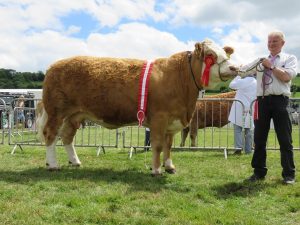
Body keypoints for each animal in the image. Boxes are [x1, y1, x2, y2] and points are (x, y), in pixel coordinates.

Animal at [36, 38, 237, 176]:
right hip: (56, 112)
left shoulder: (172, 122)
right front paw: (156, 170)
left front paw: (169, 166)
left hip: (75, 115)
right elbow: (157, 145)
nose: (234, 68)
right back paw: (53, 164)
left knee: (67, 137)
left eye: (226, 54)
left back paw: (75, 162)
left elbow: (168, 145)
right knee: (51, 135)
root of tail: (53, 66)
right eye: (210, 55)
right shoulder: (159, 119)